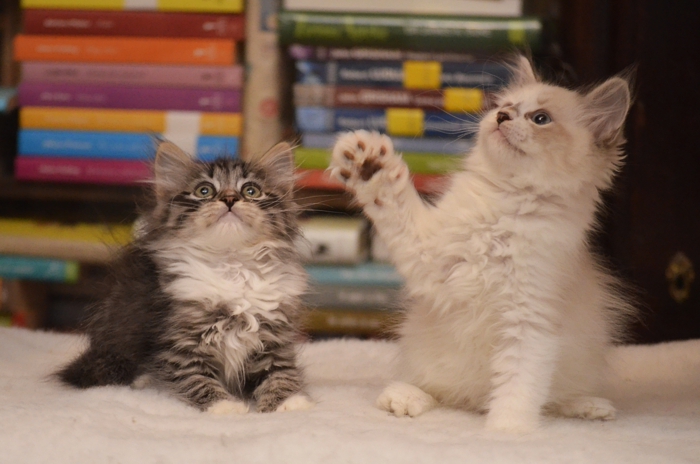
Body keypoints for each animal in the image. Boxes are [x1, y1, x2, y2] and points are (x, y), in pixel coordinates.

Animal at [56, 140, 313, 414]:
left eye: (251, 191)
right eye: (204, 191)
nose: (230, 199)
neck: (231, 264)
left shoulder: (274, 339)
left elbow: (281, 373)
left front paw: (288, 402)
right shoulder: (178, 345)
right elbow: (196, 380)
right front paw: (225, 406)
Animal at [328, 56, 633, 432]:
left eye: (540, 118)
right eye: (505, 106)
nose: (501, 117)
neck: (501, 213)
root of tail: (471, 402)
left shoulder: (530, 322)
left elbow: (519, 390)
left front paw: (505, 434)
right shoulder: (431, 258)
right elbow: (393, 200)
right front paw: (369, 165)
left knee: (555, 399)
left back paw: (590, 407)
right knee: (431, 389)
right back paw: (403, 398)